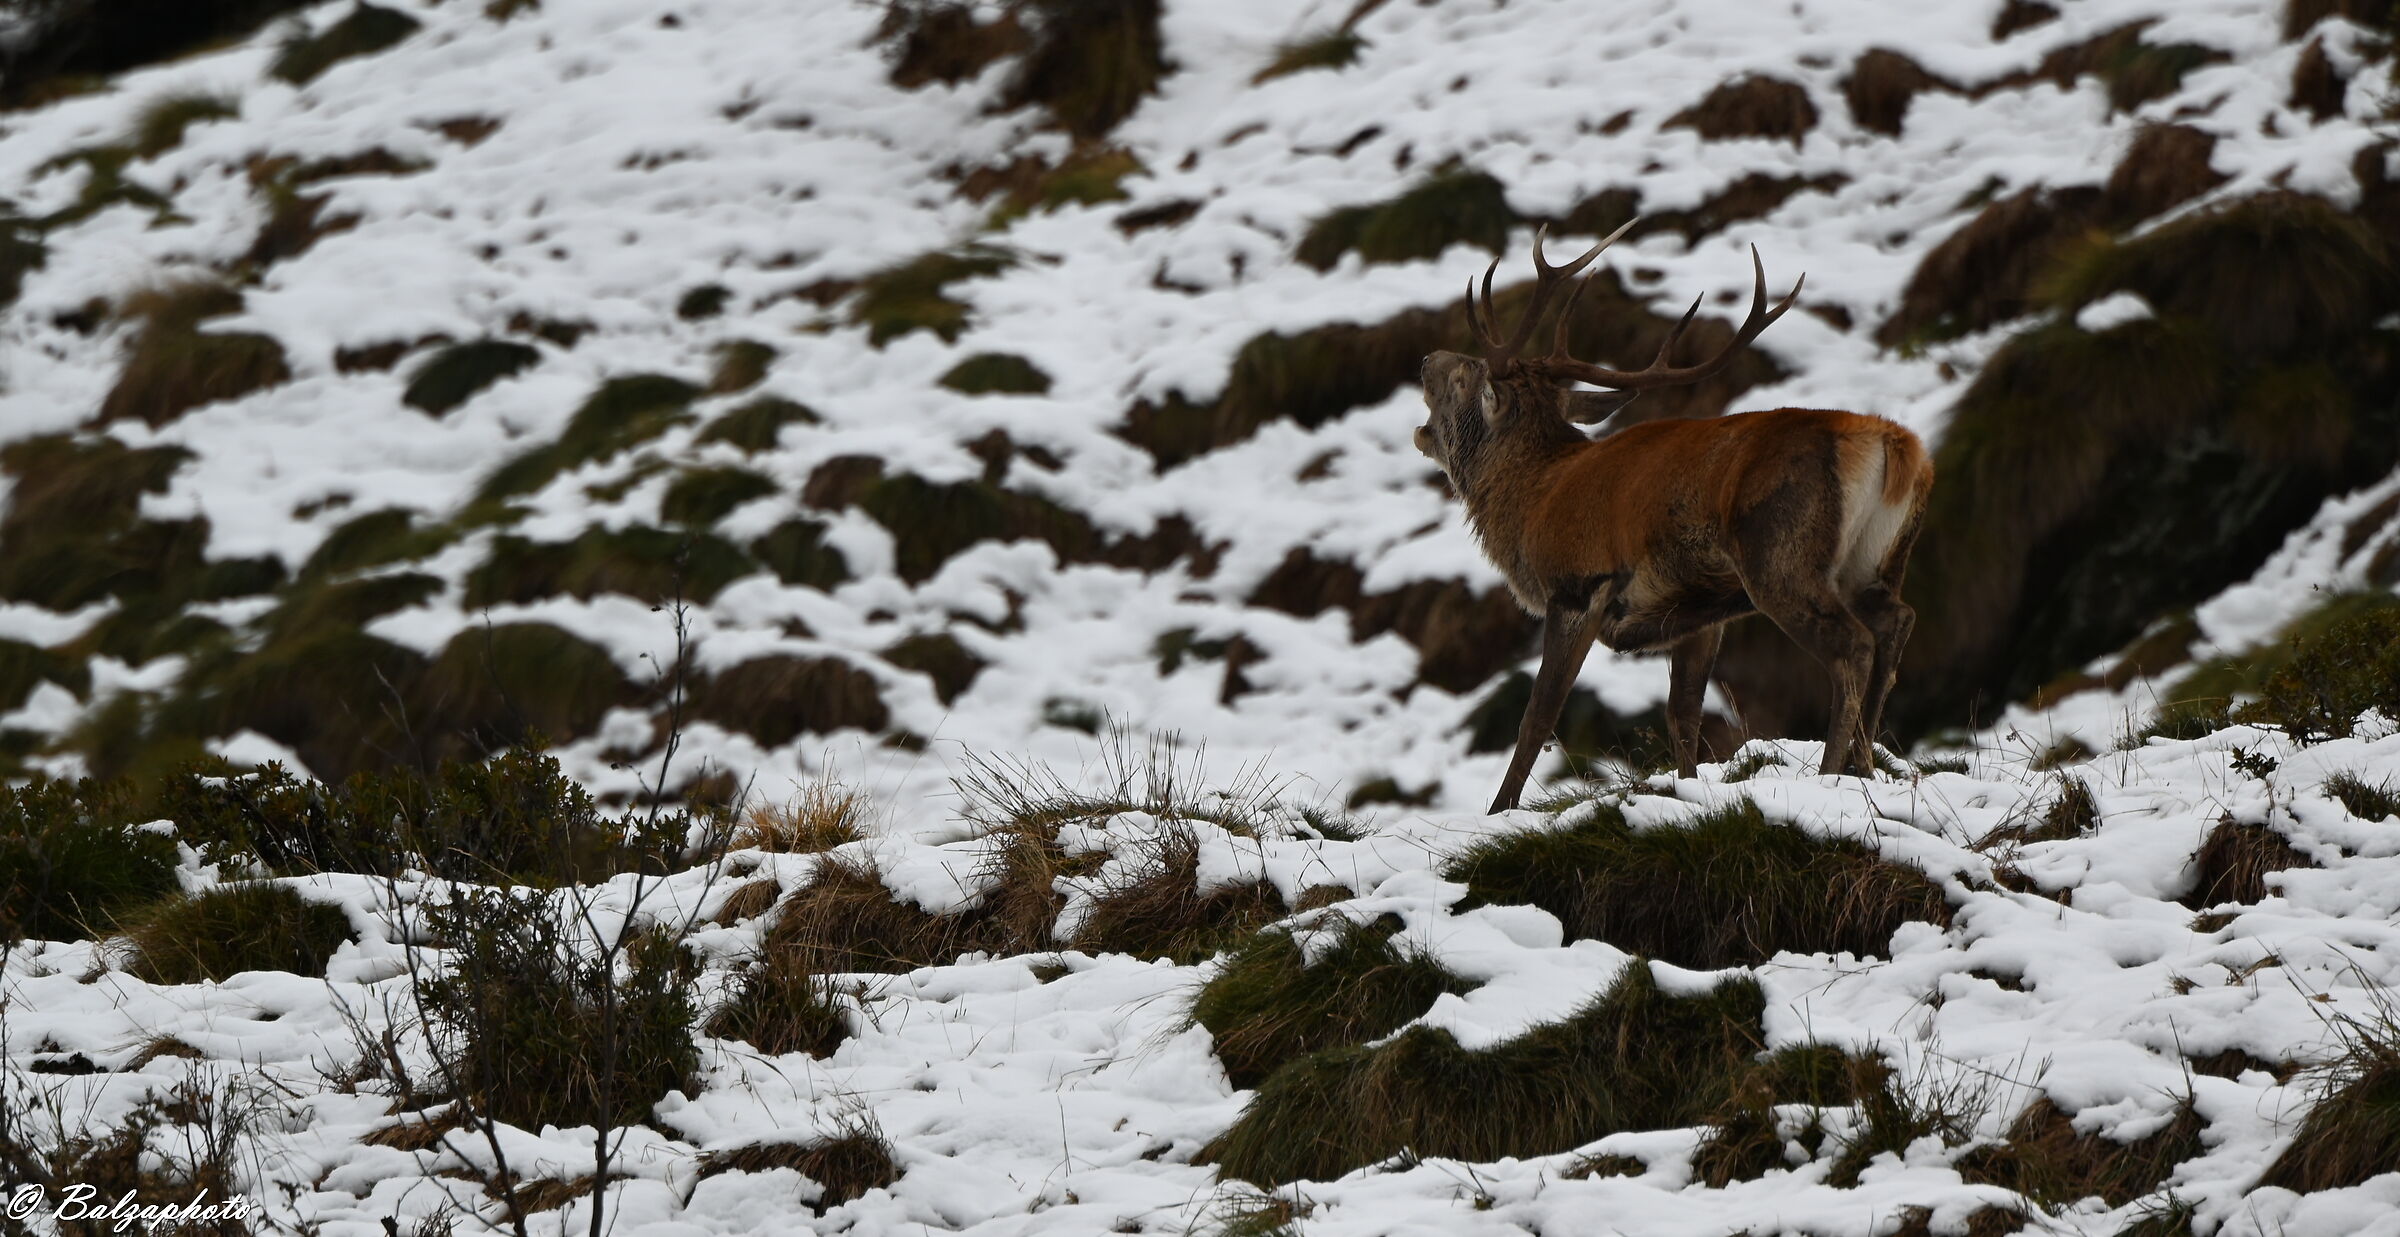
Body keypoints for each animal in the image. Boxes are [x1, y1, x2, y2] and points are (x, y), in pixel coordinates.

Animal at [1414, 222, 1933, 812]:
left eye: (1466, 375)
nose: (1425, 359)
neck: (1531, 503)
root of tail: (1895, 445)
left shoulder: (1579, 585)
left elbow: (1537, 717)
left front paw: (1499, 810)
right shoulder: (1700, 610)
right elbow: (1682, 712)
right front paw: (1686, 789)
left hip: (1781, 554)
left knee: (1853, 645)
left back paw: (1832, 775)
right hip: (1874, 562)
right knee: (1896, 621)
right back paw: (1866, 767)